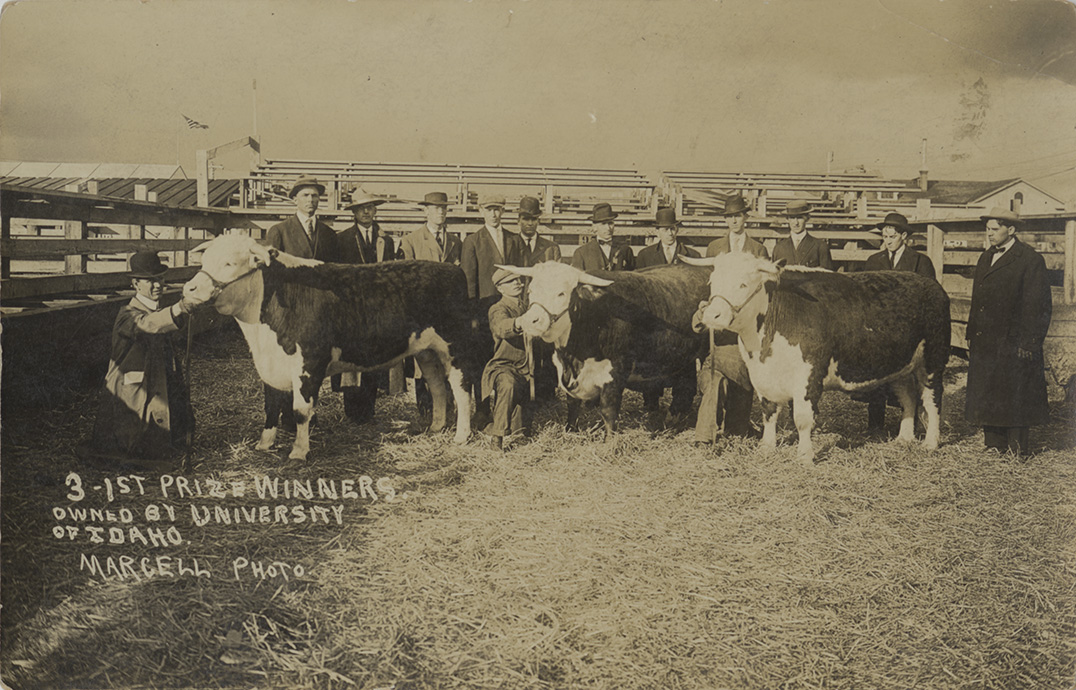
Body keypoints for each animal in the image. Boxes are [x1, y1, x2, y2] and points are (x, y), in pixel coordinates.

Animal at [182, 234, 480, 460]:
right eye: (205, 260)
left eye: (229, 263)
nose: (189, 288)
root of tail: (451, 268)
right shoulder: (270, 364)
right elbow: (271, 405)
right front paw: (264, 444)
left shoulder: (309, 362)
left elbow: (300, 411)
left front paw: (299, 452)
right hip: (425, 350)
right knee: (438, 385)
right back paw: (436, 426)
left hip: (455, 346)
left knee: (460, 387)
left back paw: (461, 435)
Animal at [497, 261, 713, 438]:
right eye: (531, 291)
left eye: (561, 293)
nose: (530, 320)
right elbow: (572, 404)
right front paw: (570, 431)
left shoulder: (614, 372)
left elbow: (609, 410)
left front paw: (610, 442)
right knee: (685, 386)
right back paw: (672, 419)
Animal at [684, 252, 950, 464]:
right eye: (712, 282)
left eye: (743, 284)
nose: (712, 315)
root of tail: (931, 284)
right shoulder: (762, 377)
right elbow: (769, 412)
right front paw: (766, 448)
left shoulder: (808, 373)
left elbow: (802, 419)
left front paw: (804, 456)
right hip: (901, 365)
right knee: (909, 398)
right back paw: (904, 438)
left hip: (933, 360)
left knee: (932, 399)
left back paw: (930, 442)